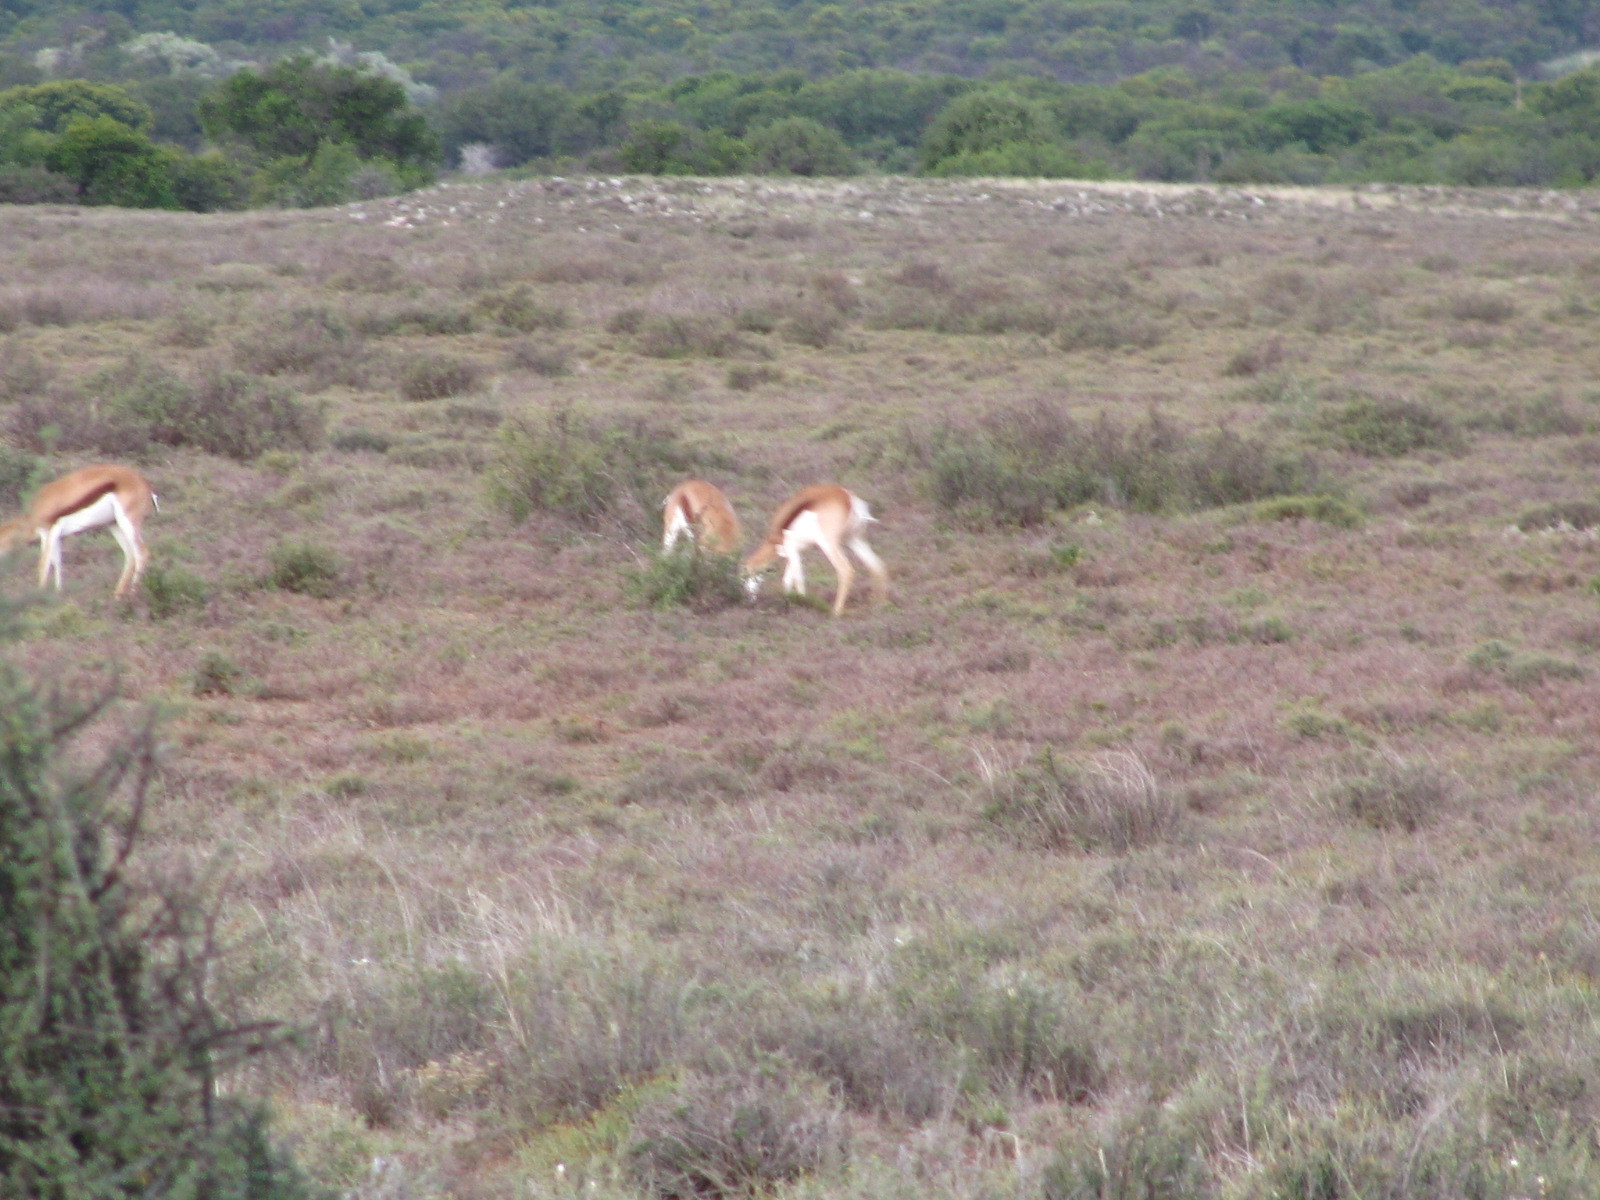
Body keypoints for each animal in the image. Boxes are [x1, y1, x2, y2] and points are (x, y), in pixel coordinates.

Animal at [0, 467, 156, 601]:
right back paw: (117, 596)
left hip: (128, 522)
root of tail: (144, 482)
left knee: (142, 553)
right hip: (114, 525)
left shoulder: (48, 532)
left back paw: (132, 597)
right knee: (130, 555)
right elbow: (57, 562)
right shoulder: (58, 537)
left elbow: (43, 565)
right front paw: (58, 594)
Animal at [739, 483, 883, 620]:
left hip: (829, 544)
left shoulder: (791, 549)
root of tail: (848, 498)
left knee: (845, 570)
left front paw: (802, 604)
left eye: (745, 577)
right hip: (853, 539)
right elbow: (787, 580)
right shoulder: (795, 553)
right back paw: (877, 605)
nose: (750, 600)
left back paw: (835, 612)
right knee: (877, 566)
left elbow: (798, 580)